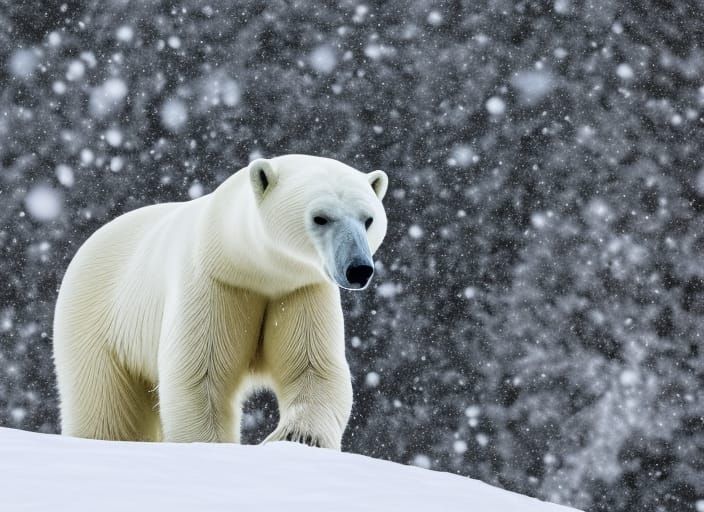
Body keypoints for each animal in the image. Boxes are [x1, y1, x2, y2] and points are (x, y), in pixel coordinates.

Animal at [52, 154, 388, 450]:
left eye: (368, 219)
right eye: (320, 218)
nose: (359, 269)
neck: (253, 267)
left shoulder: (298, 290)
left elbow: (313, 367)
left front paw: (298, 438)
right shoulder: (215, 284)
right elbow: (202, 375)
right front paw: (208, 446)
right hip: (98, 319)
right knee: (105, 404)